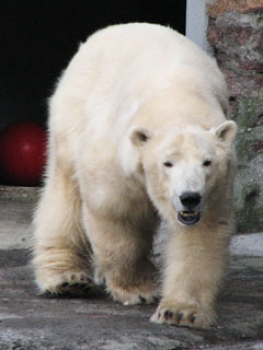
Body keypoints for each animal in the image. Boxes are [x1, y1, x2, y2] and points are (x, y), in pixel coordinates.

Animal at [32, 22, 238, 328]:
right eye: (167, 163)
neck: (177, 100)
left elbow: (201, 234)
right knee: (64, 193)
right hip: (72, 112)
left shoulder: (215, 189)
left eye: (207, 162)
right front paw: (138, 288)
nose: (189, 197)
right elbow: (115, 213)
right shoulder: (118, 153)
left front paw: (180, 312)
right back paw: (66, 279)